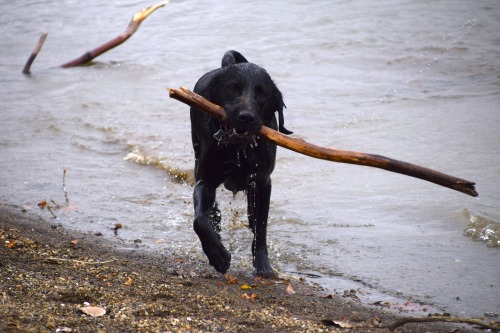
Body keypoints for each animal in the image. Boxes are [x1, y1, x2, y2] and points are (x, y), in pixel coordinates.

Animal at [191, 50, 292, 276]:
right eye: (233, 88)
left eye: (262, 94)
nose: (246, 117)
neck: (238, 147)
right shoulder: (206, 180)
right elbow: (199, 220)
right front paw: (217, 255)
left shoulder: (262, 183)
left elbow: (261, 227)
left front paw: (262, 265)